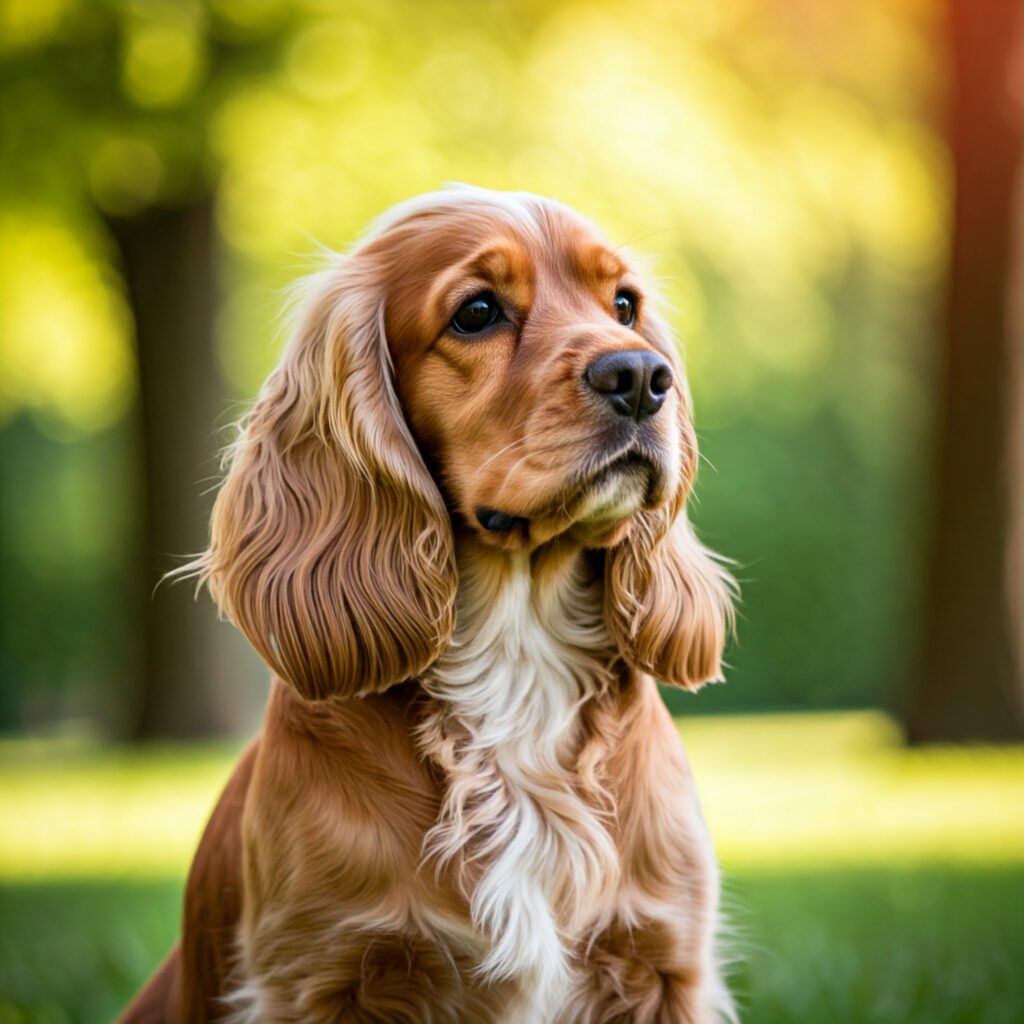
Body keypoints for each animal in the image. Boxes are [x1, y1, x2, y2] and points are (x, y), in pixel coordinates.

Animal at [119, 186, 737, 1024]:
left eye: (624, 305)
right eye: (476, 312)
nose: (642, 375)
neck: (517, 656)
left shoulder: (664, 962)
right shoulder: (322, 973)